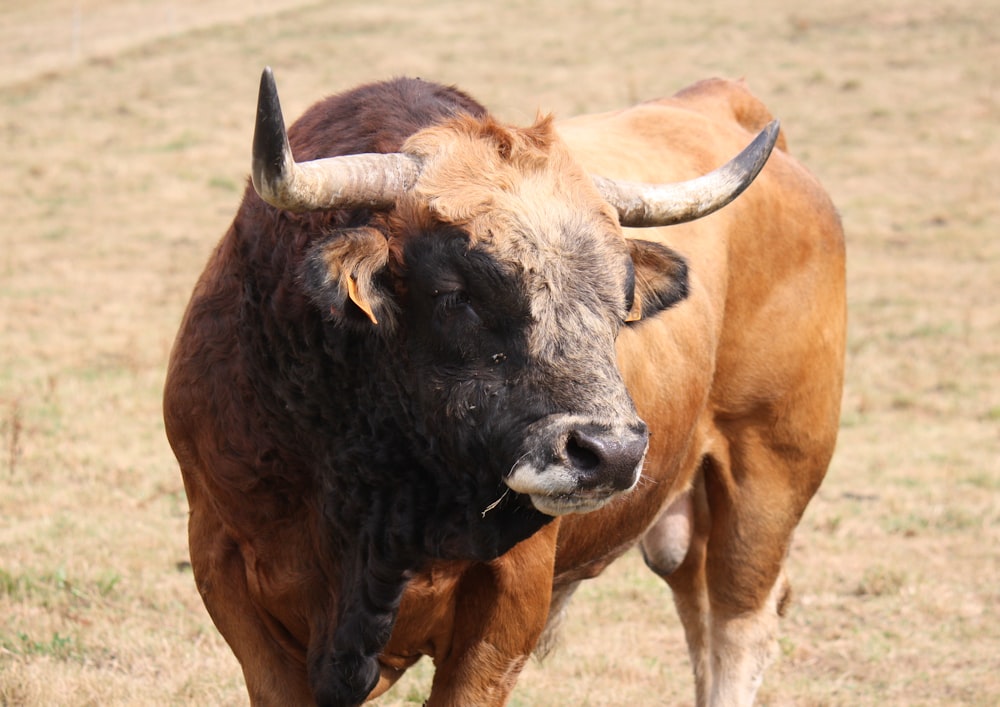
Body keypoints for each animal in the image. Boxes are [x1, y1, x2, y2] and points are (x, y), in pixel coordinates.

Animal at [162, 68, 844, 707]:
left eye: (623, 295)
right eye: (453, 291)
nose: (611, 453)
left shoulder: (508, 605)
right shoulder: (225, 569)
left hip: (771, 474)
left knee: (737, 622)